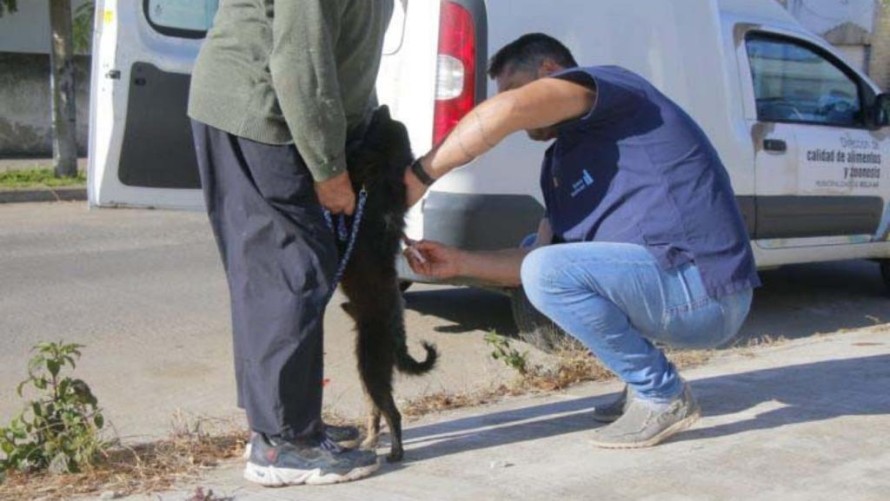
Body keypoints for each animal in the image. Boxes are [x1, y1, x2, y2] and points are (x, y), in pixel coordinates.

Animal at [336, 105, 438, 460]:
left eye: (378, 125)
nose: (381, 106)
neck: (378, 179)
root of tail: (396, 339)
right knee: (378, 409)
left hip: (370, 363)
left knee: (392, 411)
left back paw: (395, 452)